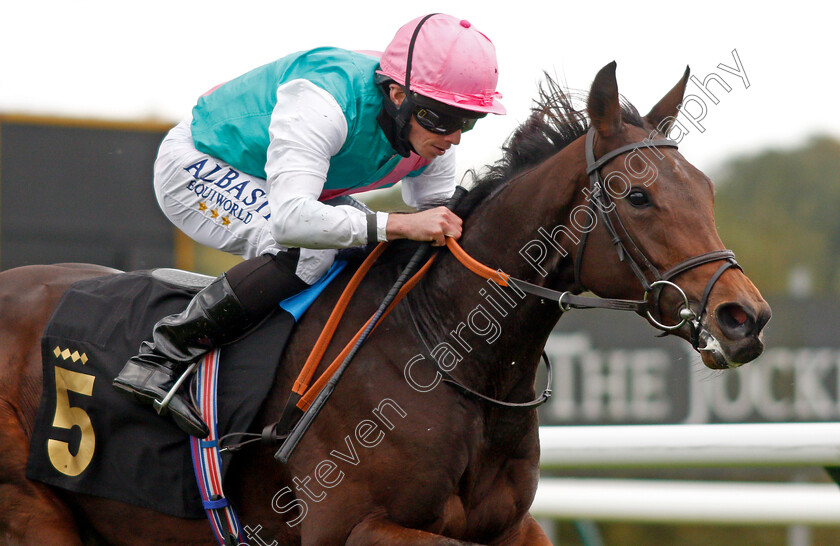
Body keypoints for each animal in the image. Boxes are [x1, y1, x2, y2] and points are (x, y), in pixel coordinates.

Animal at [1, 61, 776, 540]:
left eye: (707, 190)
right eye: (638, 196)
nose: (745, 315)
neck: (449, 360)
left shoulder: (510, 527)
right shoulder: (355, 527)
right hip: (34, 510)